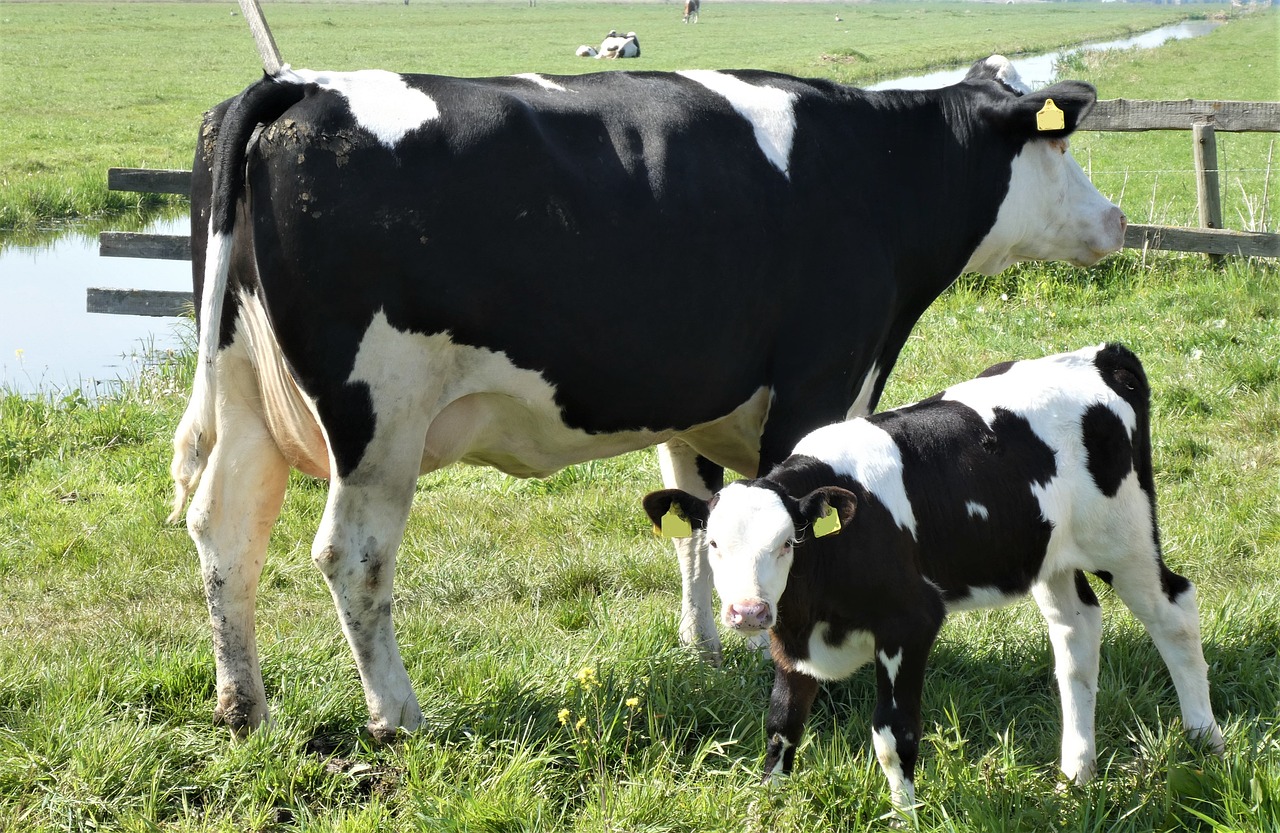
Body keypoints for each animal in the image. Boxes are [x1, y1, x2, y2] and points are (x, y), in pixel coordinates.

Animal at [175, 56, 1126, 737]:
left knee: (225, 533)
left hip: (248, 396)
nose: (1116, 219)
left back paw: (242, 705)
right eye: (1060, 146)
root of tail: (300, 84)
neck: (879, 172)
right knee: (352, 556)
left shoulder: (696, 400)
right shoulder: (821, 380)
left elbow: (703, 525)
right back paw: (398, 716)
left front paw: (706, 648)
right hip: (380, 419)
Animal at [645, 342, 1223, 813]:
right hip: (1050, 556)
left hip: (1125, 539)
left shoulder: (910, 622)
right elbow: (781, 727)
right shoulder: (791, 640)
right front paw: (768, 810)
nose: (748, 612)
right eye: (713, 545)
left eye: (788, 542)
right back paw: (1076, 775)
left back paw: (1206, 742)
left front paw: (905, 817)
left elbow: (892, 735)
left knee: (1174, 613)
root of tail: (1099, 356)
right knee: (1077, 632)